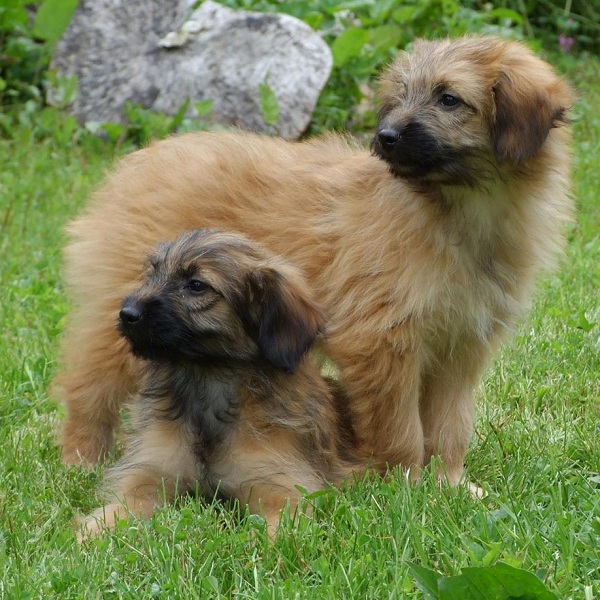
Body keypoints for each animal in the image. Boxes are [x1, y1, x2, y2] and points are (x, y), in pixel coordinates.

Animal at [55, 35, 572, 488]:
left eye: (449, 99)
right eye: (401, 96)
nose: (384, 137)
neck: (456, 209)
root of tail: (142, 159)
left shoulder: (460, 347)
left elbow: (449, 428)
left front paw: (448, 485)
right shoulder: (380, 342)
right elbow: (401, 431)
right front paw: (403, 486)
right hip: (131, 320)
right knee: (87, 387)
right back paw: (80, 460)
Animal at [79, 230, 360, 540]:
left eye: (196, 285)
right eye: (152, 274)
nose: (127, 314)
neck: (208, 380)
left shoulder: (282, 488)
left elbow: (273, 531)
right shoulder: (148, 475)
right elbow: (117, 511)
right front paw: (87, 536)